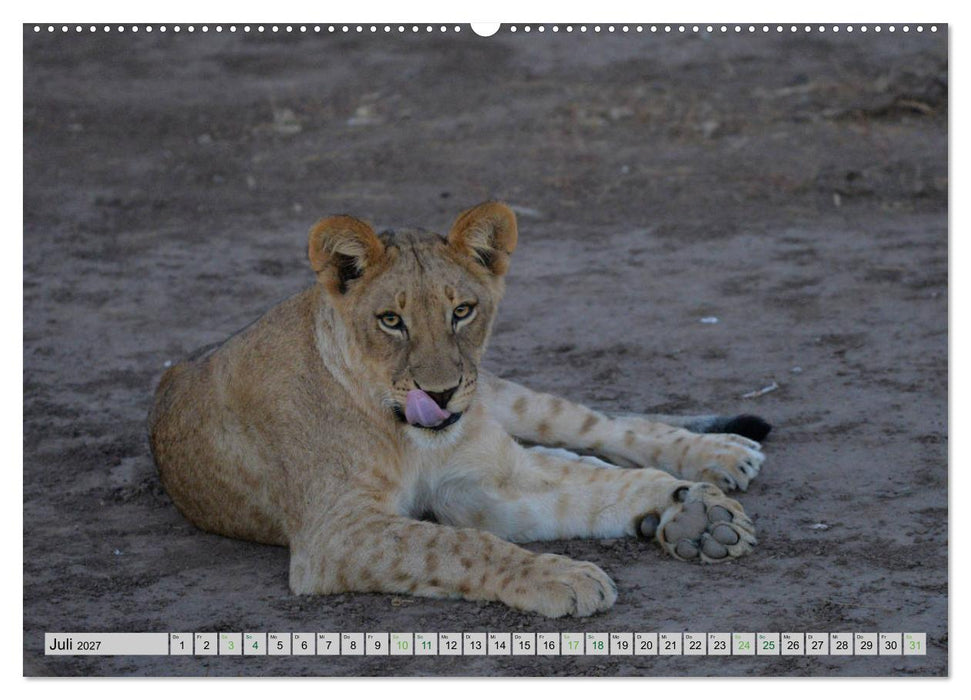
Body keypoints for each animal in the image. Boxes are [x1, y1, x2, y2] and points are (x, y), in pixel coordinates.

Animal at [149, 201, 770, 618]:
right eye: (390, 321)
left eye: (463, 311)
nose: (442, 393)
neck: (406, 436)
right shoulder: (337, 531)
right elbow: (463, 545)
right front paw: (566, 575)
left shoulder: (485, 477)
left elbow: (592, 485)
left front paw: (691, 506)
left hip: (504, 399)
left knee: (599, 428)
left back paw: (717, 462)